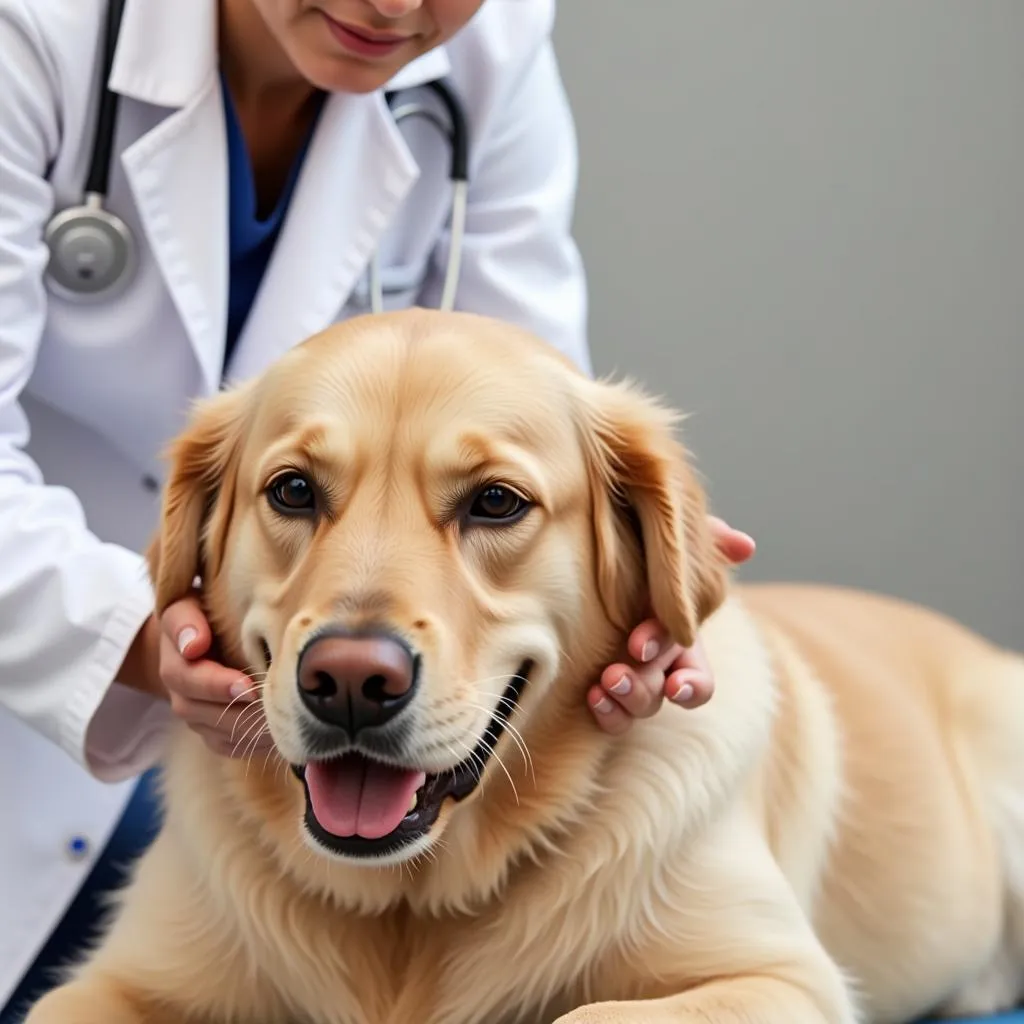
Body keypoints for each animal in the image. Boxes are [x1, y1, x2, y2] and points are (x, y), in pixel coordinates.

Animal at [28, 307, 1024, 1019]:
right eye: (294, 490)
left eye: (496, 502)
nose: (349, 681)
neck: (410, 908)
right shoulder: (111, 982)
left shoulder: (778, 978)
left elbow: (591, 1015)